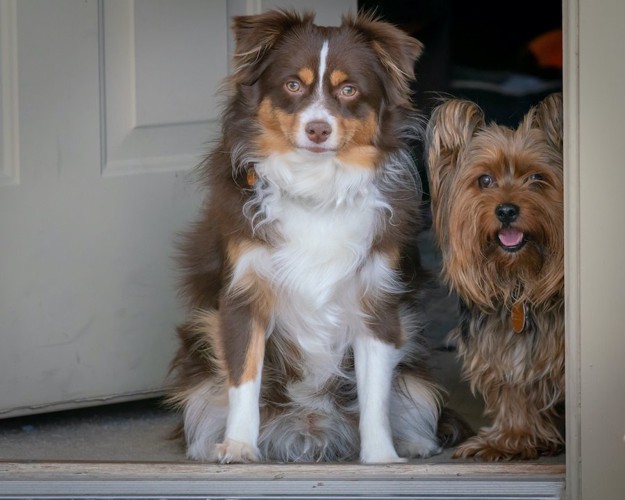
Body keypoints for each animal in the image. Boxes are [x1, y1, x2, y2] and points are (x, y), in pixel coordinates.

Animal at [166, 8, 464, 464]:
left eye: (348, 89)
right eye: (293, 85)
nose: (318, 130)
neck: (317, 186)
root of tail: (309, 429)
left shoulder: (376, 299)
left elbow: (375, 393)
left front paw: (381, 458)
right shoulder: (243, 294)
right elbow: (243, 377)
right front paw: (238, 447)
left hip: (417, 368)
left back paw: (413, 443)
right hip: (199, 353)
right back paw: (207, 447)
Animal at [424, 94, 564, 460]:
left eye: (537, 178)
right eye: (484, 180)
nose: (506, 210)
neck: (519, 279)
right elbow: (513, 384)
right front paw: (512, 438)